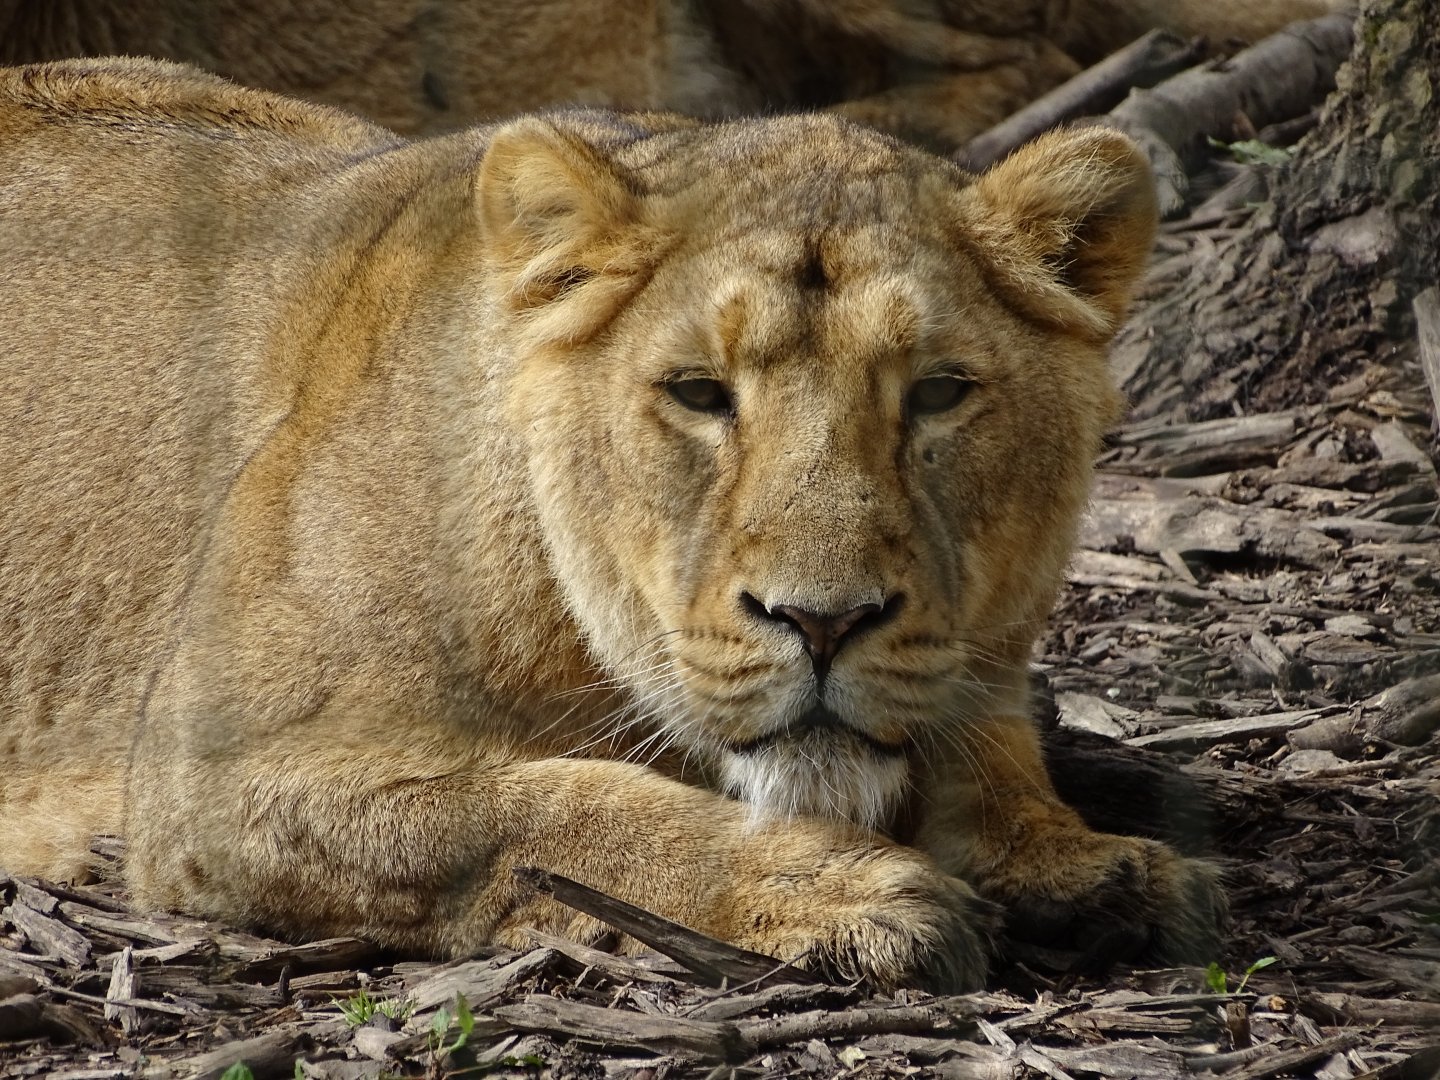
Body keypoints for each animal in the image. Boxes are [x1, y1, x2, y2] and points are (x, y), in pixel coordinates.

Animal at [0, 57, 1224, 989]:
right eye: (698, 393)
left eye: (937, 393)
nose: (823, 623)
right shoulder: (208, 772)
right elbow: (545, 811)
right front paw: (825, 885)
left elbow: (992, 747)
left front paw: (1077, 860)